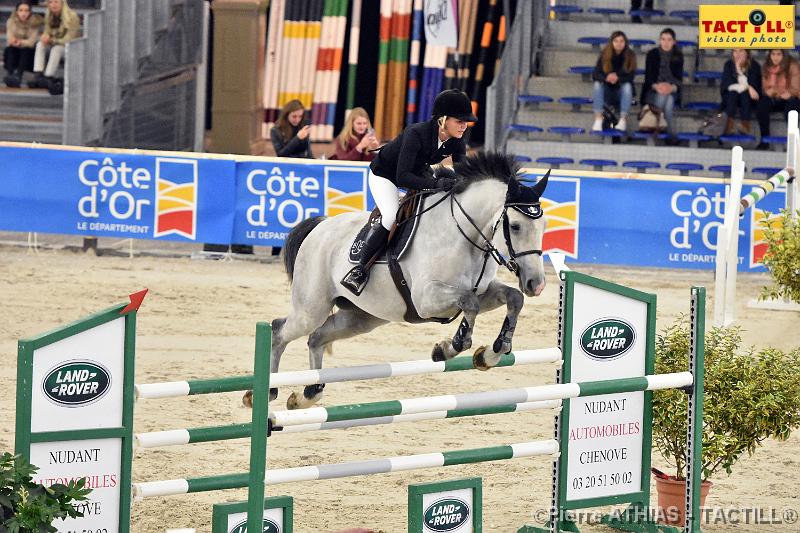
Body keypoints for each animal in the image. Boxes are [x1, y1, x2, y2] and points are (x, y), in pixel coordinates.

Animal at [250, 152, 552, 410]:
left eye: (544, 226)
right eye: (515, 226)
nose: (536, 283)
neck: (466, 236)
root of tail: (320, 226)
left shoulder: (484, 290)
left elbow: (513, 298)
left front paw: (493, 351)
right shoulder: (427, 299)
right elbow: (469, 305)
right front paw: (448, 348)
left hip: (362, 317)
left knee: (317, 338)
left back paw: (307, 395)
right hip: (311, 308)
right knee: (280, 331)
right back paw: (264, 393)